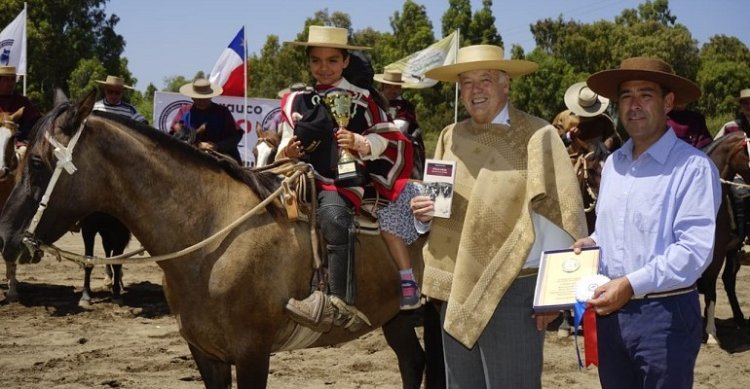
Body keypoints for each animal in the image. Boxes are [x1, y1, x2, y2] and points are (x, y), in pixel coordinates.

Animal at [0, 91, 426, 388]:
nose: (5, 237)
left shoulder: (253, 353)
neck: (211, 238)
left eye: (36, 162)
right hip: (397, 319)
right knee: (413, 363)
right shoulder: (206, 353)